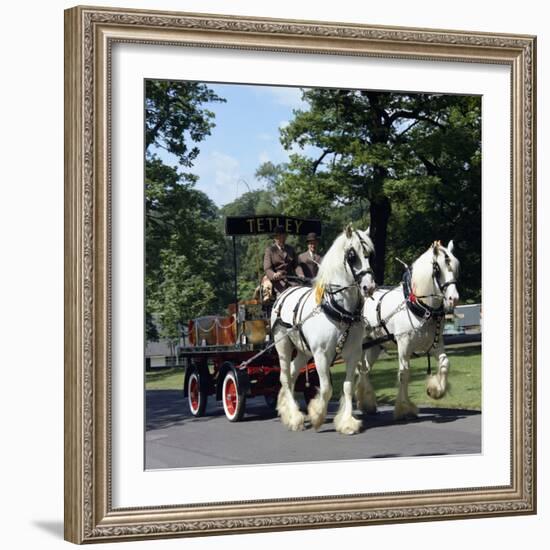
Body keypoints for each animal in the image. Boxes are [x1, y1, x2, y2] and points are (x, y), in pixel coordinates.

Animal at [272, 224, 380, 436]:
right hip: (283, 345)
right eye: (352, 255)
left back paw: (287, 409)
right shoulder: (321, 355)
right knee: (284, 376)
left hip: (304, 351)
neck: (339, 309)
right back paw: (295, 418)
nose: (369, 287)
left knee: (293, 373)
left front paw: (347, 422)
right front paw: (316, 415)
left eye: (370, 254)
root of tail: (284, 293)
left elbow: (347, 387)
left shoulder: (353, 354)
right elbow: (326, 388)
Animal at [358, 239, 462, 420]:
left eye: (455, 267)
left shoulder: (435, 344)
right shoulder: (404, 345)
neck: (422, 307)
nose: (453, 299)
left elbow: (445, 363)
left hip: (375, 346)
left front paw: (435, 390)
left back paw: (367, 404)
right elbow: (404, 374)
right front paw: (404, 408)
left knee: (364, 369)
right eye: (438, 269)